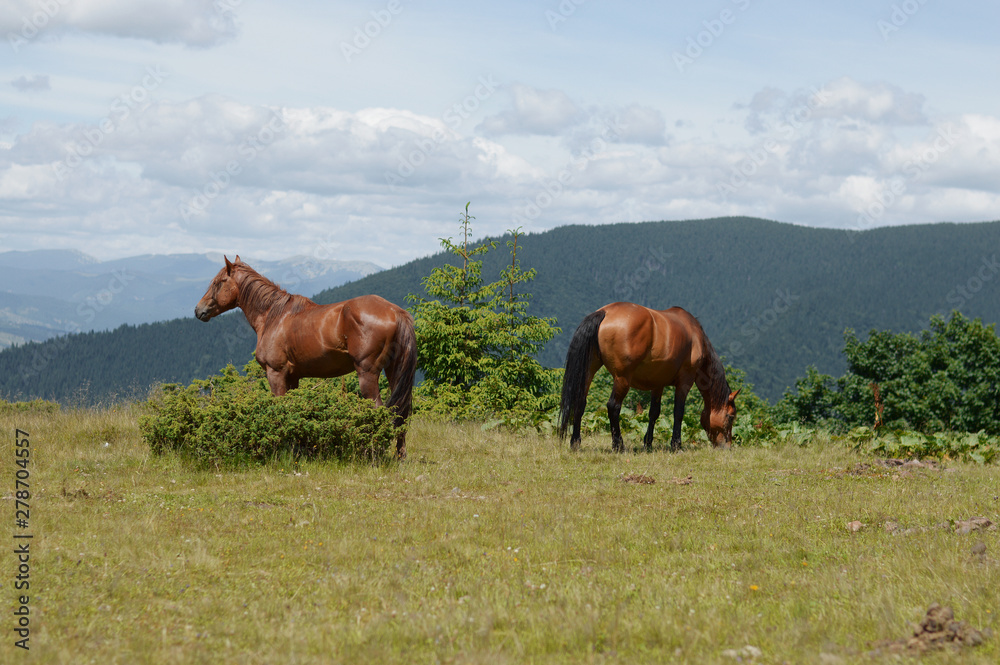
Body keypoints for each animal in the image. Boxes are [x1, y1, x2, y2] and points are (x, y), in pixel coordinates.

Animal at [195, 254, 418, 456]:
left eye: (218, 283)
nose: (198, 310)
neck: (273, 316)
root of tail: (395, 311)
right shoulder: (293, 377)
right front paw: (296, 449)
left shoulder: (276, 374)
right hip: (393, 371)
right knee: (401, 412)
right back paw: (399, 455)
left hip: (367, 374)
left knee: (379, 409)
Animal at [560, 302, 740, 452]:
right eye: (731, 417)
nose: (727, 447)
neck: (695, 336)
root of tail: (605, 312)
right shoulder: (685, 382)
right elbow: (678, 412)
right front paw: (676, 445)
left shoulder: (657, 384)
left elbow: (654, 412)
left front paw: (648, 443)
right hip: (622, 378)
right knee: (613, 407)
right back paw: (618, 445)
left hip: (589, 371)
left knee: (580, 402)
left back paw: (575, 442)